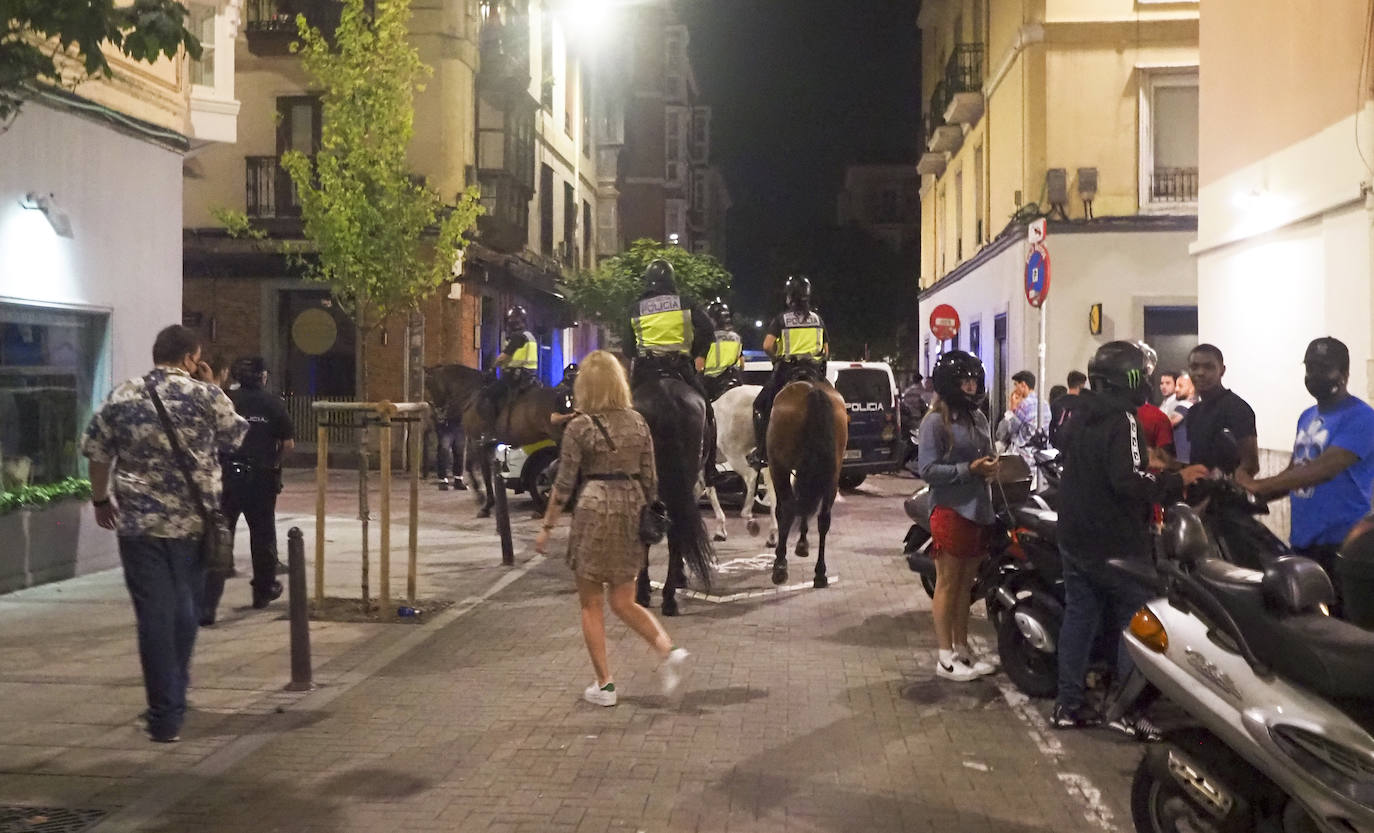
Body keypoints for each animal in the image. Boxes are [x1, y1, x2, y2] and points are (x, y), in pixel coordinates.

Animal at [769, 379, 840, 588]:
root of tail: (814, 390)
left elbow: (784, 510)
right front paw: (802, 543)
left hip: (779, 467)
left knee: (786, 509)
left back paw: (780, 566)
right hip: (832, 476)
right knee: (823, 519)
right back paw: (820, 573)